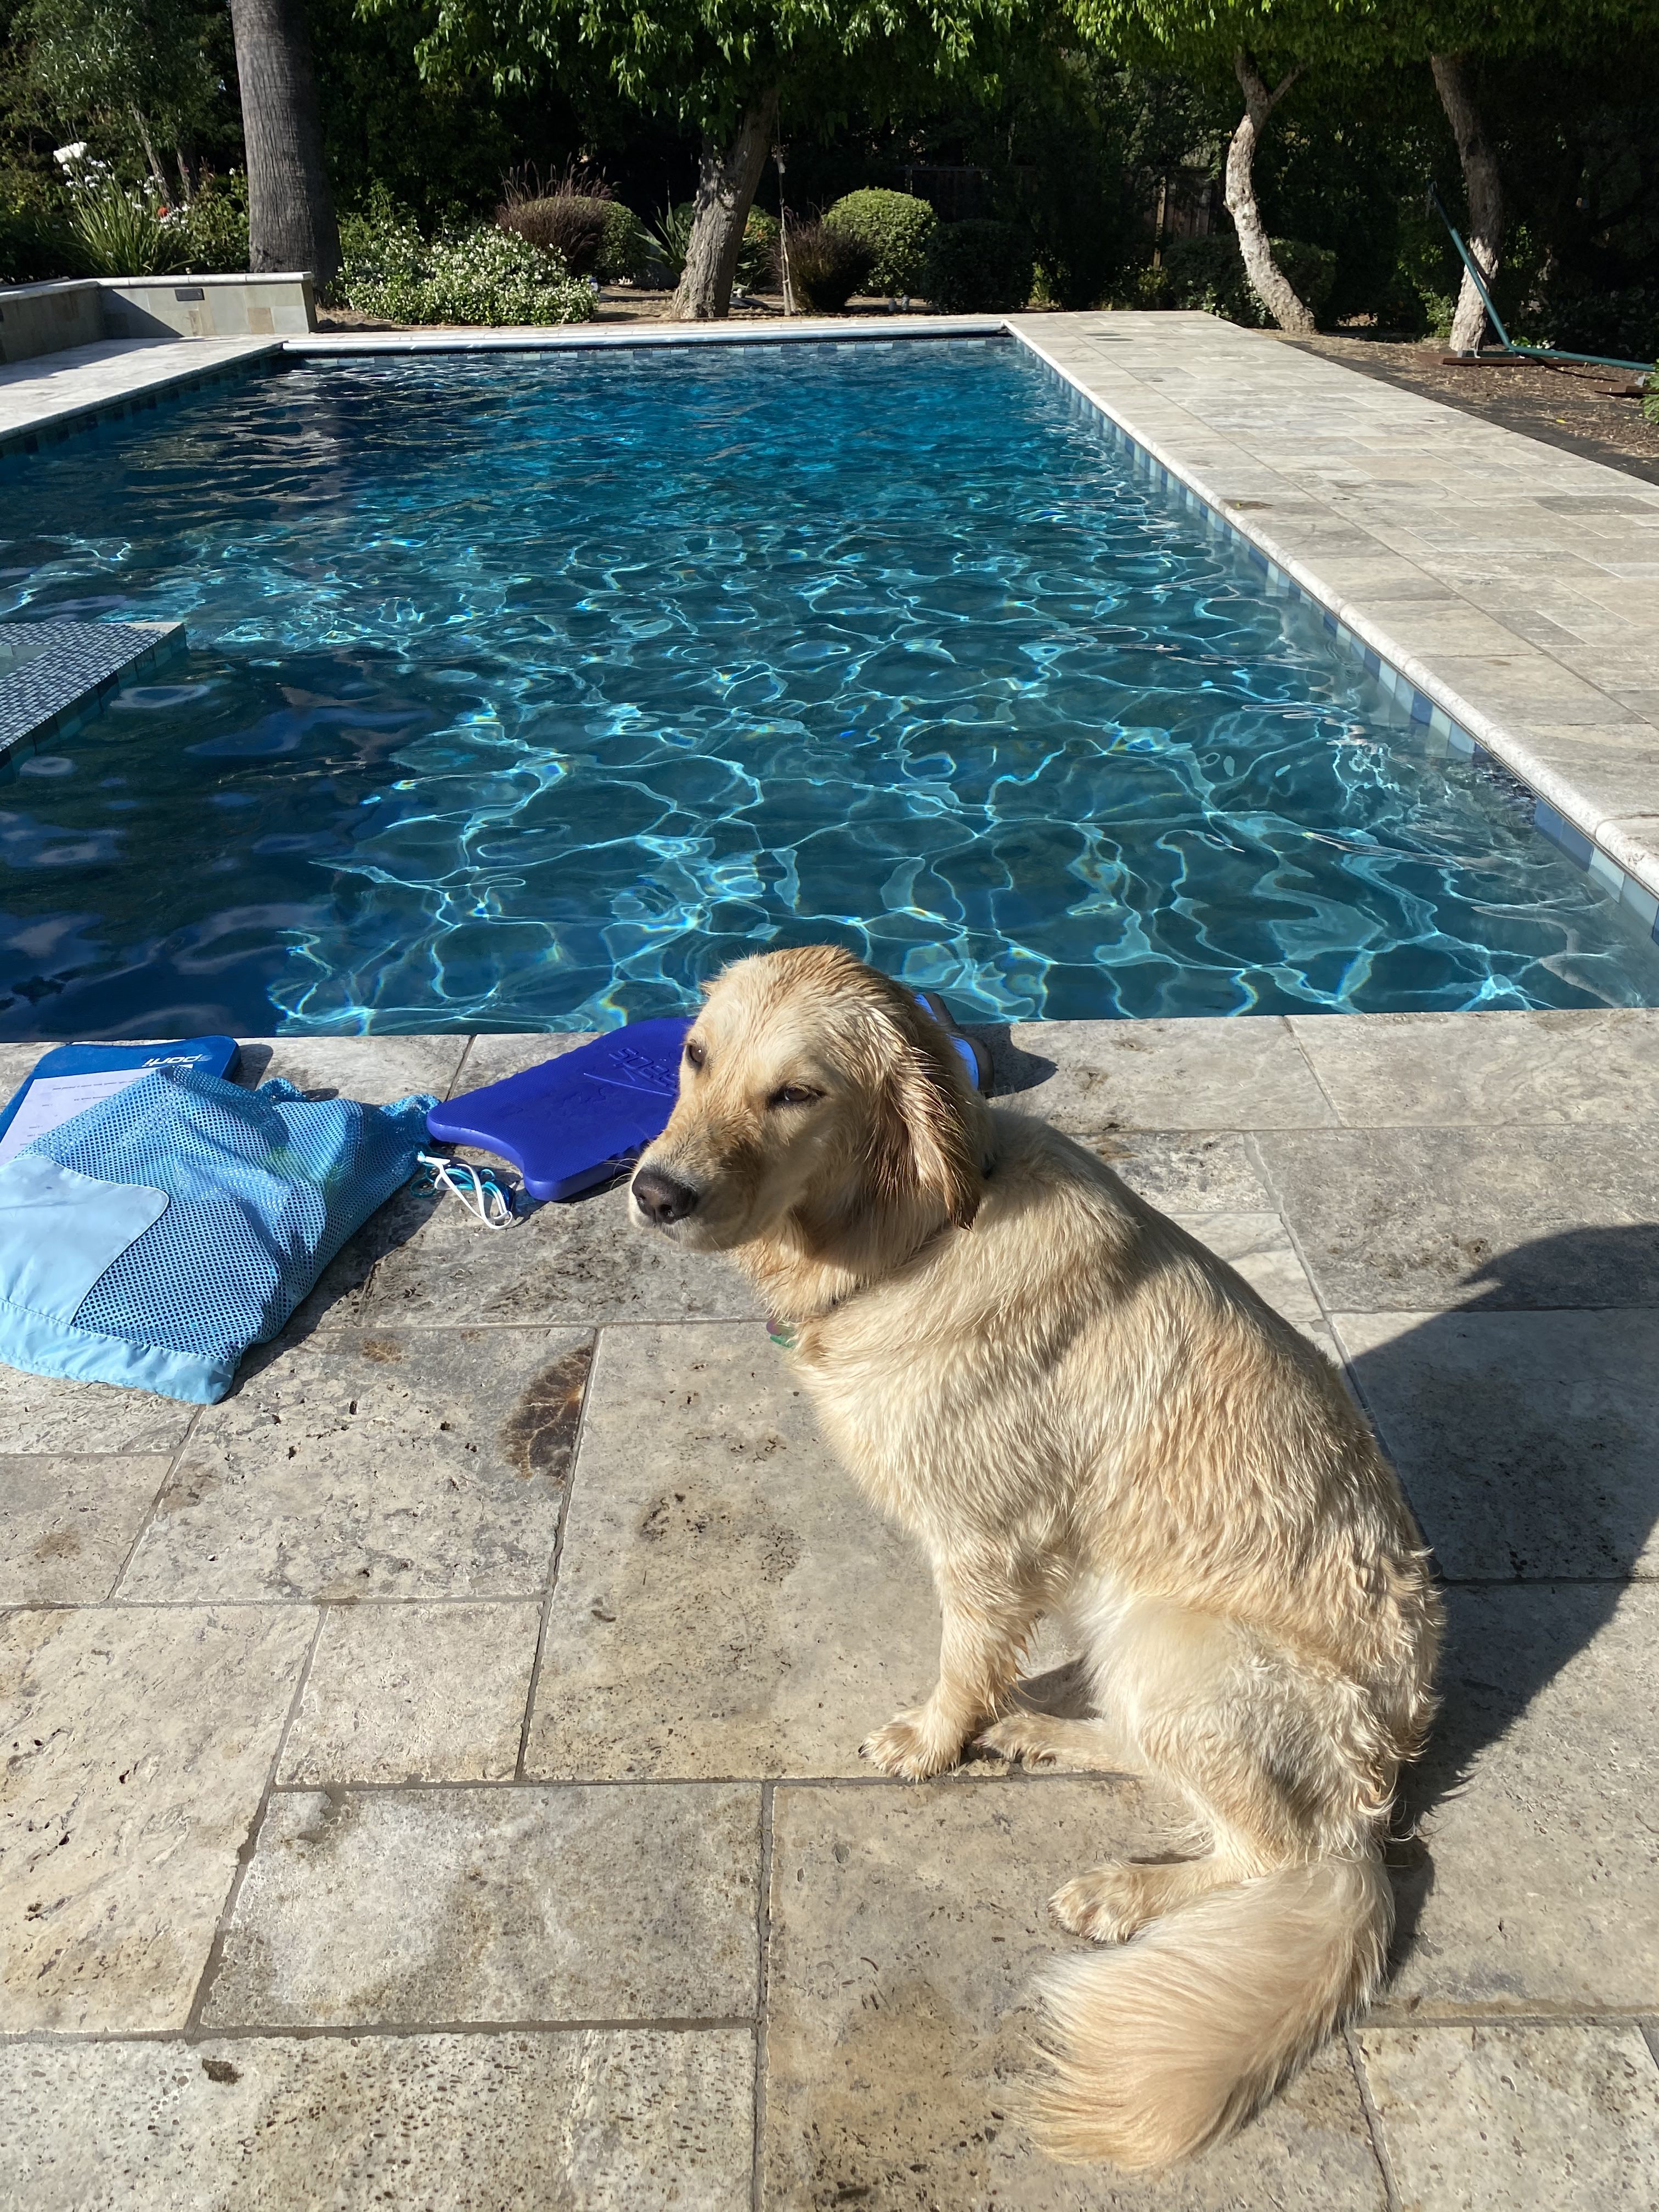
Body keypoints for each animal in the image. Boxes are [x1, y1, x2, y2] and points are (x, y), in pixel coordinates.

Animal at [624, 942, 1442, 2168]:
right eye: (694, 1054)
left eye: (798, 1093)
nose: (655, 1191)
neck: (913, 1231)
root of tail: (1377, 1799)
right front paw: (982, 1732)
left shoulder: (983, 1541)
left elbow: (963, 1661)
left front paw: (931, 1741)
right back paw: (1043, 1736)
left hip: (1175, 1641)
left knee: (1268, 1855)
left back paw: (1121, 1890)